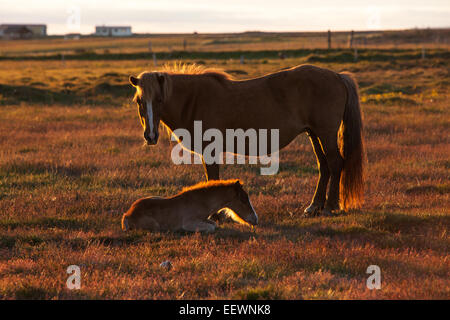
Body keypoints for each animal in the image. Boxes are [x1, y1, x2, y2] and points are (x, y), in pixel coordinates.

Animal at [121, 180, 258, 232]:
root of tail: (127, 214)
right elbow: (211, 227)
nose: (255, 220)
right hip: (155, 226)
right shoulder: (188, 223)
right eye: (243, 200)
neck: (202, 202)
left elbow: (214, 224)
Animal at [128, 63, 364, 215]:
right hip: (314, 134)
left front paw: (216, 214)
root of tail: (337, 76)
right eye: (139, 101)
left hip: (325, 133)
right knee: (324, 165)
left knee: (335, 163)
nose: (150, 136)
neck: (194, 99)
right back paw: (315, 206)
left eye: (159, 99)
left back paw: (331, 206)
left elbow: (212, 178)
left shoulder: (210, 150)